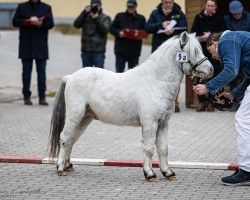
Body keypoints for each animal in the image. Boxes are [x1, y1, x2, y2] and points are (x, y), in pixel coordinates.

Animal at [48, 31, 213, 183]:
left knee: (72, 139)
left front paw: (168, 173)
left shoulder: (163, 125)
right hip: (75, 115)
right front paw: (150, 174)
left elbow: (163, 149)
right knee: (64, 138)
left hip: (85, 118)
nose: (210, 70)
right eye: (194, 51)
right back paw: (60, 168)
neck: (155, 82)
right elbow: (149, 149)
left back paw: (68, 166)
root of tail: (71, 77)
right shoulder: (150, 124)